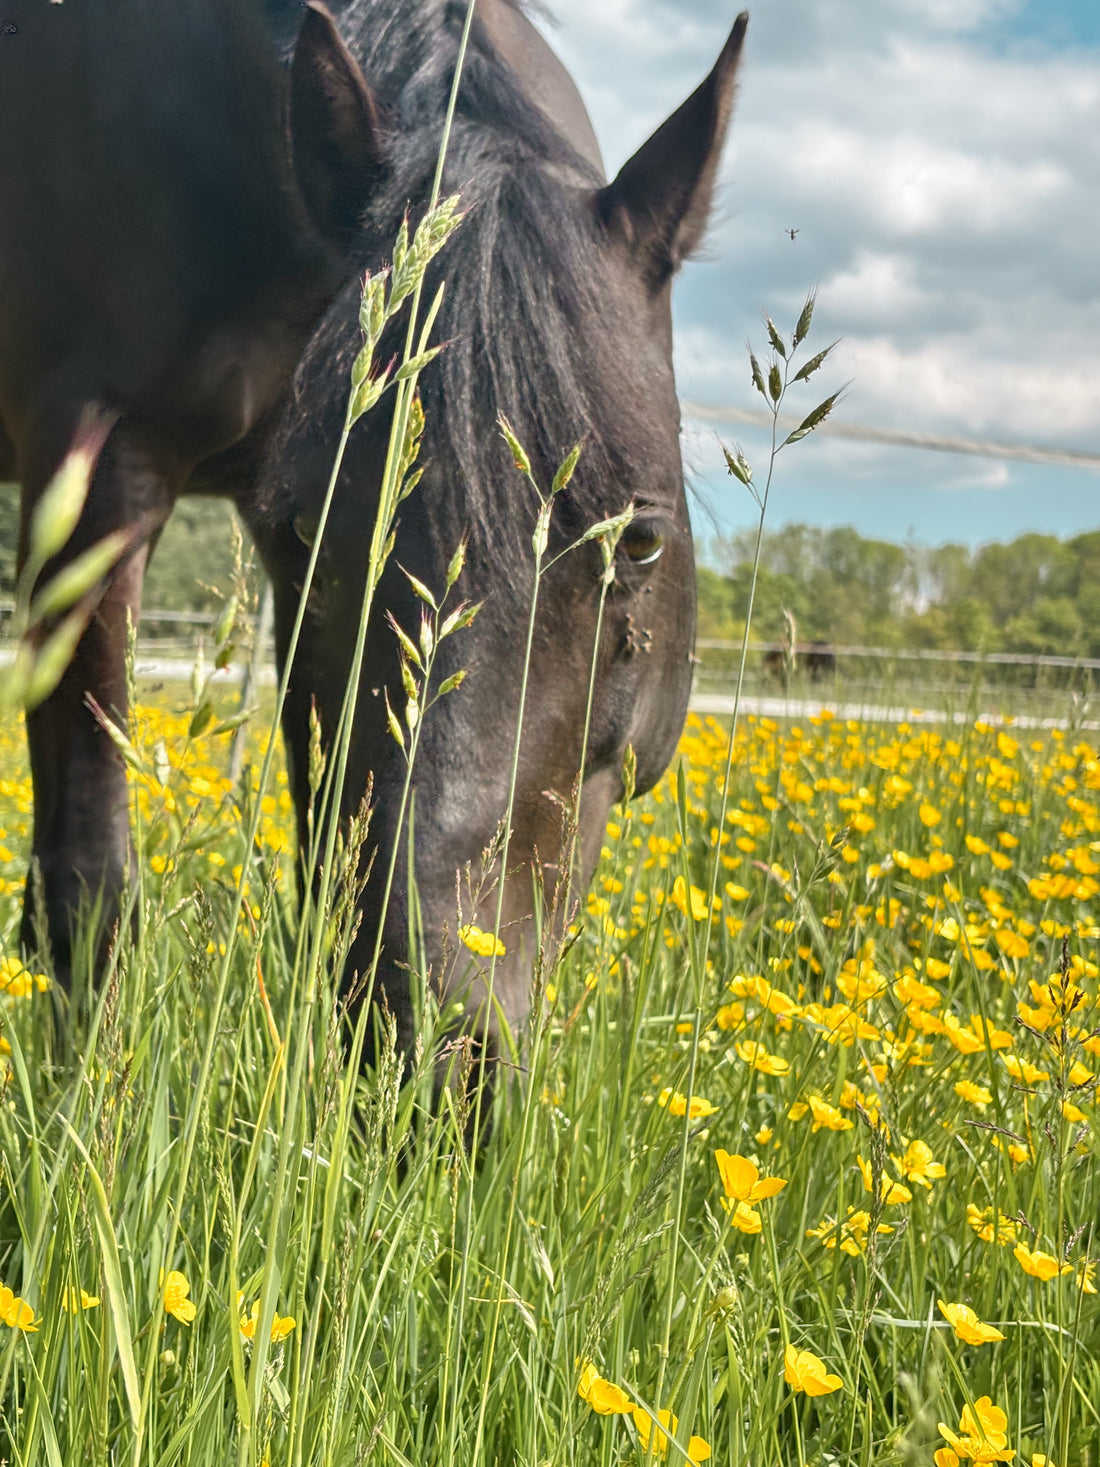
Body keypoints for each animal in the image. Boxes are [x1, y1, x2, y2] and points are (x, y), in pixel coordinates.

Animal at [4, 0, 748, 1076]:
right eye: (316, 523)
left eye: (637, 544)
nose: (439, 1048)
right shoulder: (96, 469)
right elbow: (90, 880)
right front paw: (81, 1109)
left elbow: (327, 844)